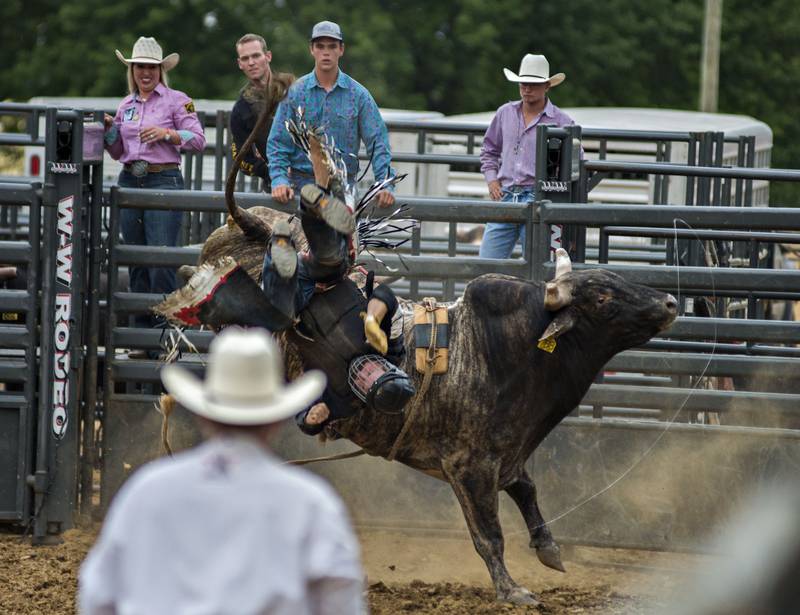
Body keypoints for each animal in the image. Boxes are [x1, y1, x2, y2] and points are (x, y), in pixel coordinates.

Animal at [156, 247, 676, 608]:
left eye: (617, 279)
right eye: (604, 297)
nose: (671, 300)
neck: (504, 349)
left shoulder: (506, 454)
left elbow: (527, 491)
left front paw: (549, 551)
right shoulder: (468, 466)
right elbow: (489, 534)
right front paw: (513, 591)